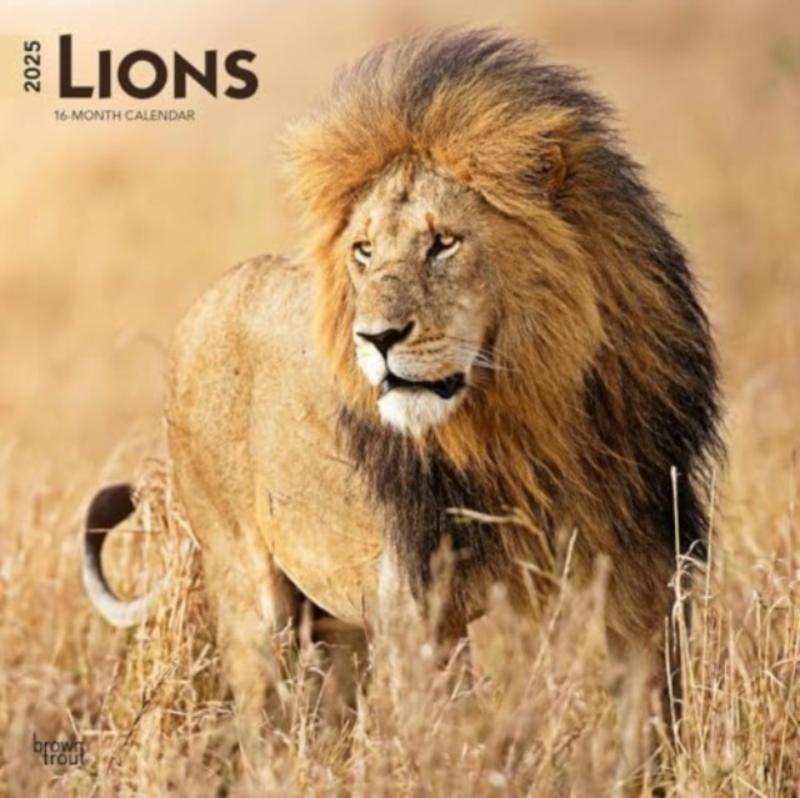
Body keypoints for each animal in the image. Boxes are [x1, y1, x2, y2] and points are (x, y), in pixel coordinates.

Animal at [83, 30, 722, 735]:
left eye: (443, 243)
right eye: (363, 251)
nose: (377, 338)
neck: (525, 421)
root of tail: (201, 306)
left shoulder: (644, 569)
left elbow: (650, 719)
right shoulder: (416, 604)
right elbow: (449, 737)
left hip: (337, 623)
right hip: (248, 586)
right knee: (263, 719)